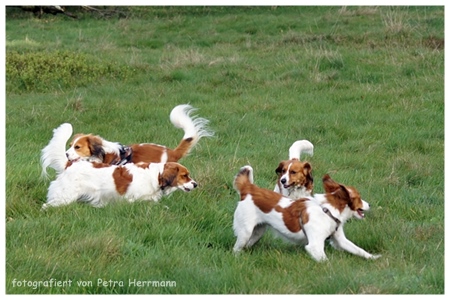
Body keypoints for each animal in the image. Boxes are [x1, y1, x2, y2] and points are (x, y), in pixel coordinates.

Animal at [41, 123, 196, 210]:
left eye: (77, 147)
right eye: (184, 175)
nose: (196, 184)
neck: (156, 174)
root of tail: (69, 164)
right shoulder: (132, 200)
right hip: (64, 197)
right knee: (46, 206)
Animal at [234, 165, 382, 262]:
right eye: (358, 198)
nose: (369, 205)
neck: (327, 210)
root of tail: (249, 189)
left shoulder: (340, 240)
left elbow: (358, 249)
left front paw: (373, 257)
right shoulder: (314, 246)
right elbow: (326, 261)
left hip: (257, 232)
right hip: (246, 232)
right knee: (236, 249)